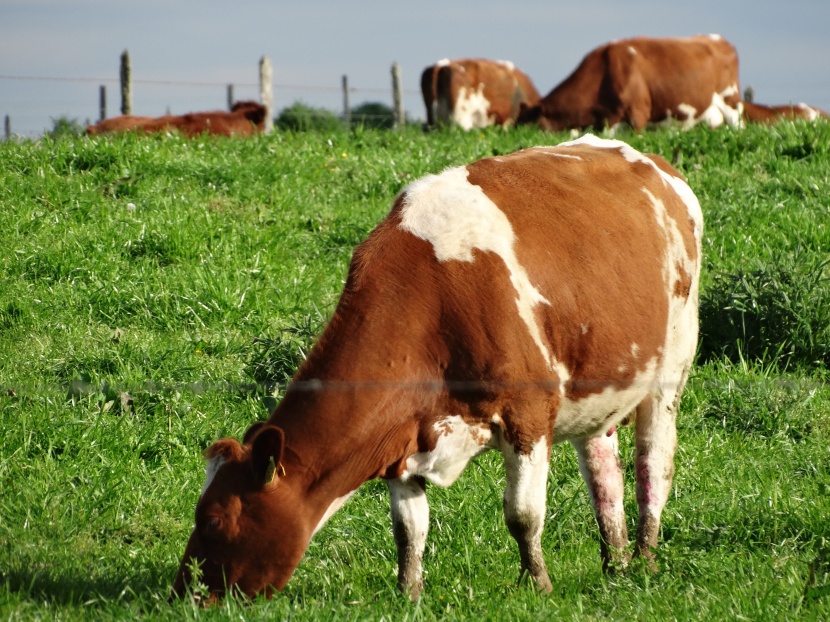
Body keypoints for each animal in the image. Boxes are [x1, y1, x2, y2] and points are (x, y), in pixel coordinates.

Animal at [172, 134, 704, 604]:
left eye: (214, 519)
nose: (183, 595)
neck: (431, 304)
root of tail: (655, 163)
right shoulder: (400, 435)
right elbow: (409, 529)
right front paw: (408, 594)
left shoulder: (529, 413)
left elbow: (522, 515)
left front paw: (538, 585)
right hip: (601, 386)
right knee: (603, 473)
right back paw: (615, 563)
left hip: (671, 370)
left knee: (654, 465)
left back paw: (646, 559)